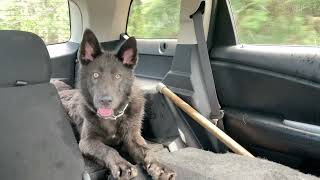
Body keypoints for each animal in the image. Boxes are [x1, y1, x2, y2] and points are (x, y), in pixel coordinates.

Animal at [54, 29, 175, 180]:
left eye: (117, 76)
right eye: (95, 75)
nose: (105, 100)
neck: (113, 117)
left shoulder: (133, 137)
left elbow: (147, 150)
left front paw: (160, 166)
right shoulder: (87, 142)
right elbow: (108, 149)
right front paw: (122, 165)